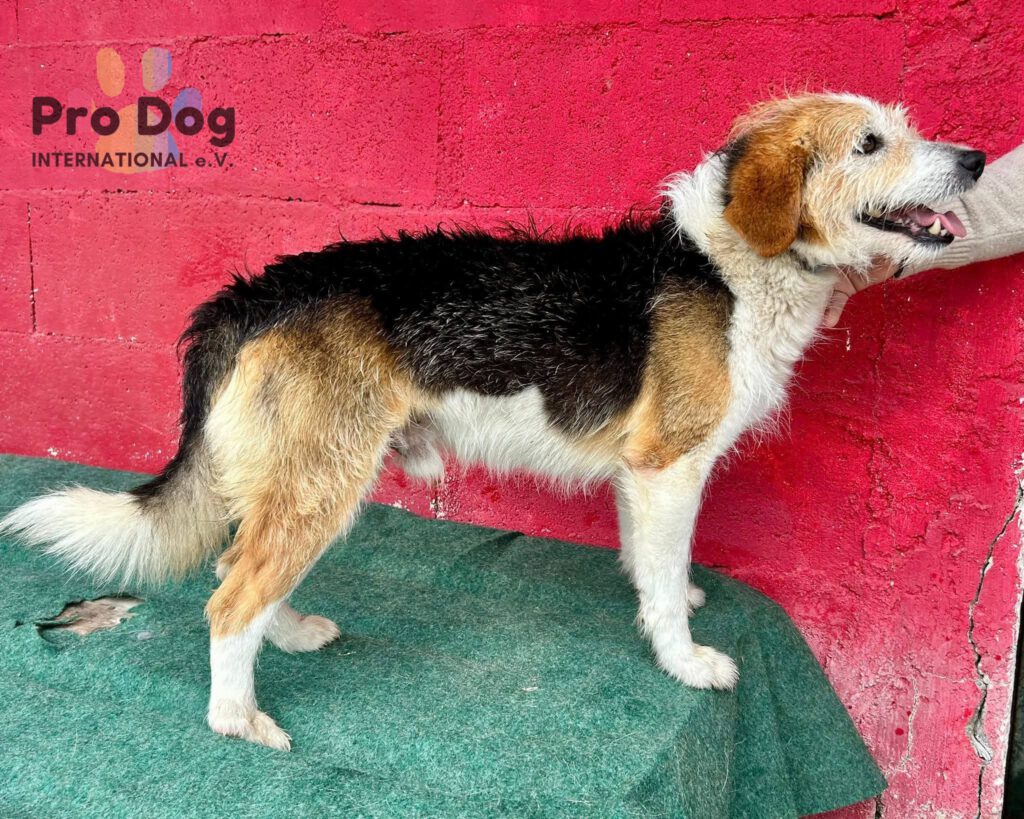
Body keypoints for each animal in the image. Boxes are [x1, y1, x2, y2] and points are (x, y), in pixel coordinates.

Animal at [1, 93, 985, 750]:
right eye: (870, 142)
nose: (977, 159)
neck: (735, 263)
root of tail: (250, 295)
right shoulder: (669, 464)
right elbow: (666, 578)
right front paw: (686, 660)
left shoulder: (641, 473)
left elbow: (650, 562)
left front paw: (668, 604)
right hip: (325, 476)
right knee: (228, 594)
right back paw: (237, 717)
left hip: (297, 476)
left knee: (236, 566)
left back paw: (289, 632)